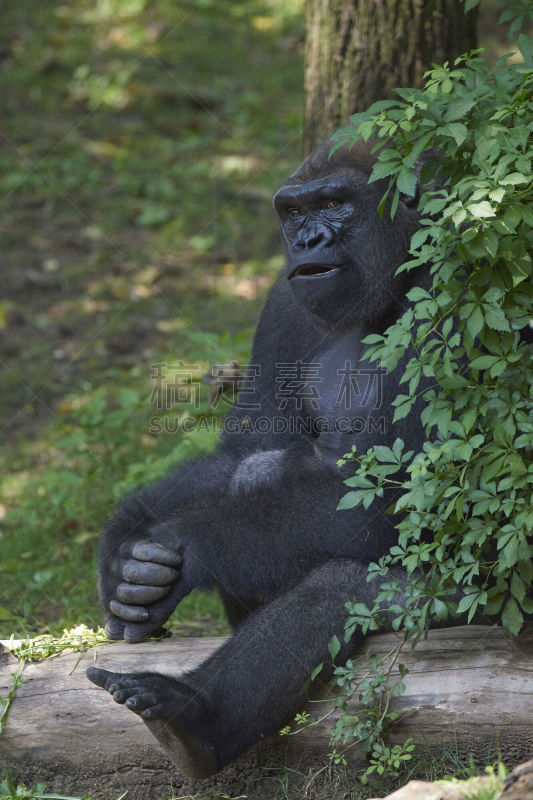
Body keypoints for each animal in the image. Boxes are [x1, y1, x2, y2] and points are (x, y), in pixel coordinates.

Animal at [87, 136, 432, 776]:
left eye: (336, 202)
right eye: (294, 212)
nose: (307, 241)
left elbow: (388, 507)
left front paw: (188, 545)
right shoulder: (282, 300)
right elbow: (246, 449)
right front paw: (124, 539)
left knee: (343, 584)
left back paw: (197, 718)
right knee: (256, 476)